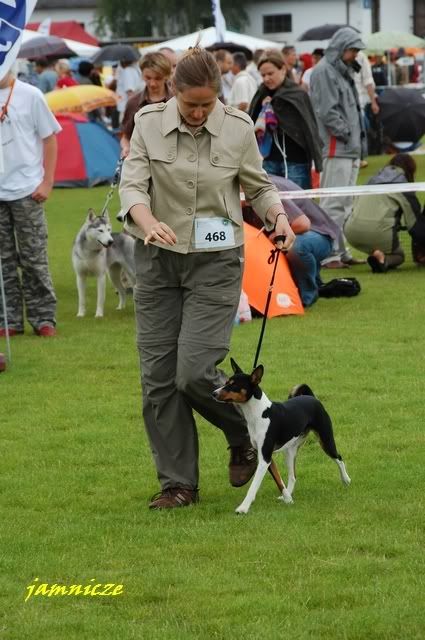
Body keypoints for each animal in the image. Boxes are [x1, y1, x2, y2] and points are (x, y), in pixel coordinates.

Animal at [213, 358, 351, 514]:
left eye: (234, 385)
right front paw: (288, 499)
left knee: (339, 458)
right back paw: (289, 494)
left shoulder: (265, 457)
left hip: (325, 440)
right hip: (290, 451)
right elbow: (279, 480)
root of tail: (311, 397)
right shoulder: (266, 457)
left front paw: (243, 507)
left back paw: (346, 479)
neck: (258, 414)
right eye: (226, 382)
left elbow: (254, 486)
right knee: (293, 476)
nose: (213, 393)